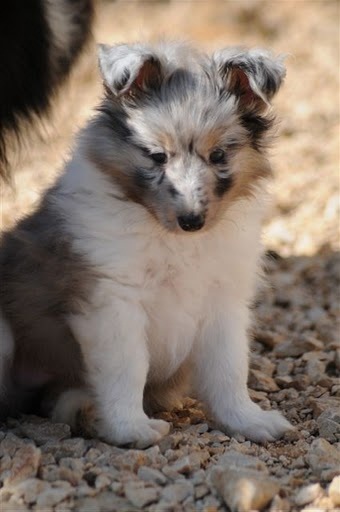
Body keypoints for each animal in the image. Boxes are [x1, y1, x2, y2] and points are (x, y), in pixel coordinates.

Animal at [0, 41, 292, 448]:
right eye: (157, 156)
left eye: (218, 155)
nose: (191, 221)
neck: (174, 240)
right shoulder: (112, 300)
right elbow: (128, 368)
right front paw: (130, 428)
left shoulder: (224, 301)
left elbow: (229, 368)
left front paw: (248, 420)